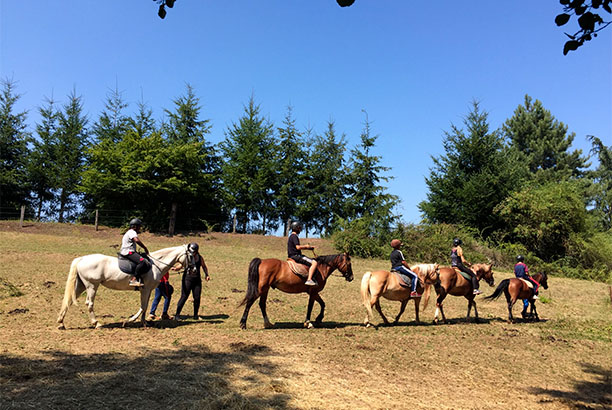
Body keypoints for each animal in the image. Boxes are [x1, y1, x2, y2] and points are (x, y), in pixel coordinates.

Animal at [57, 245, 195, 328]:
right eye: (191, 255)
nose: (193, 269)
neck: (155, 264)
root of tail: (82, 259)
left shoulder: (147, 290)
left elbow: (145, 306)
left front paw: (144, 322)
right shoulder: (145, 289)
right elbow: (143, 306)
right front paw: (130, 320)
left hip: (81, 285)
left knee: (69, 301)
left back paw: (61, 323)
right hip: (92, 285)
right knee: (89, 303)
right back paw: (96, 323)